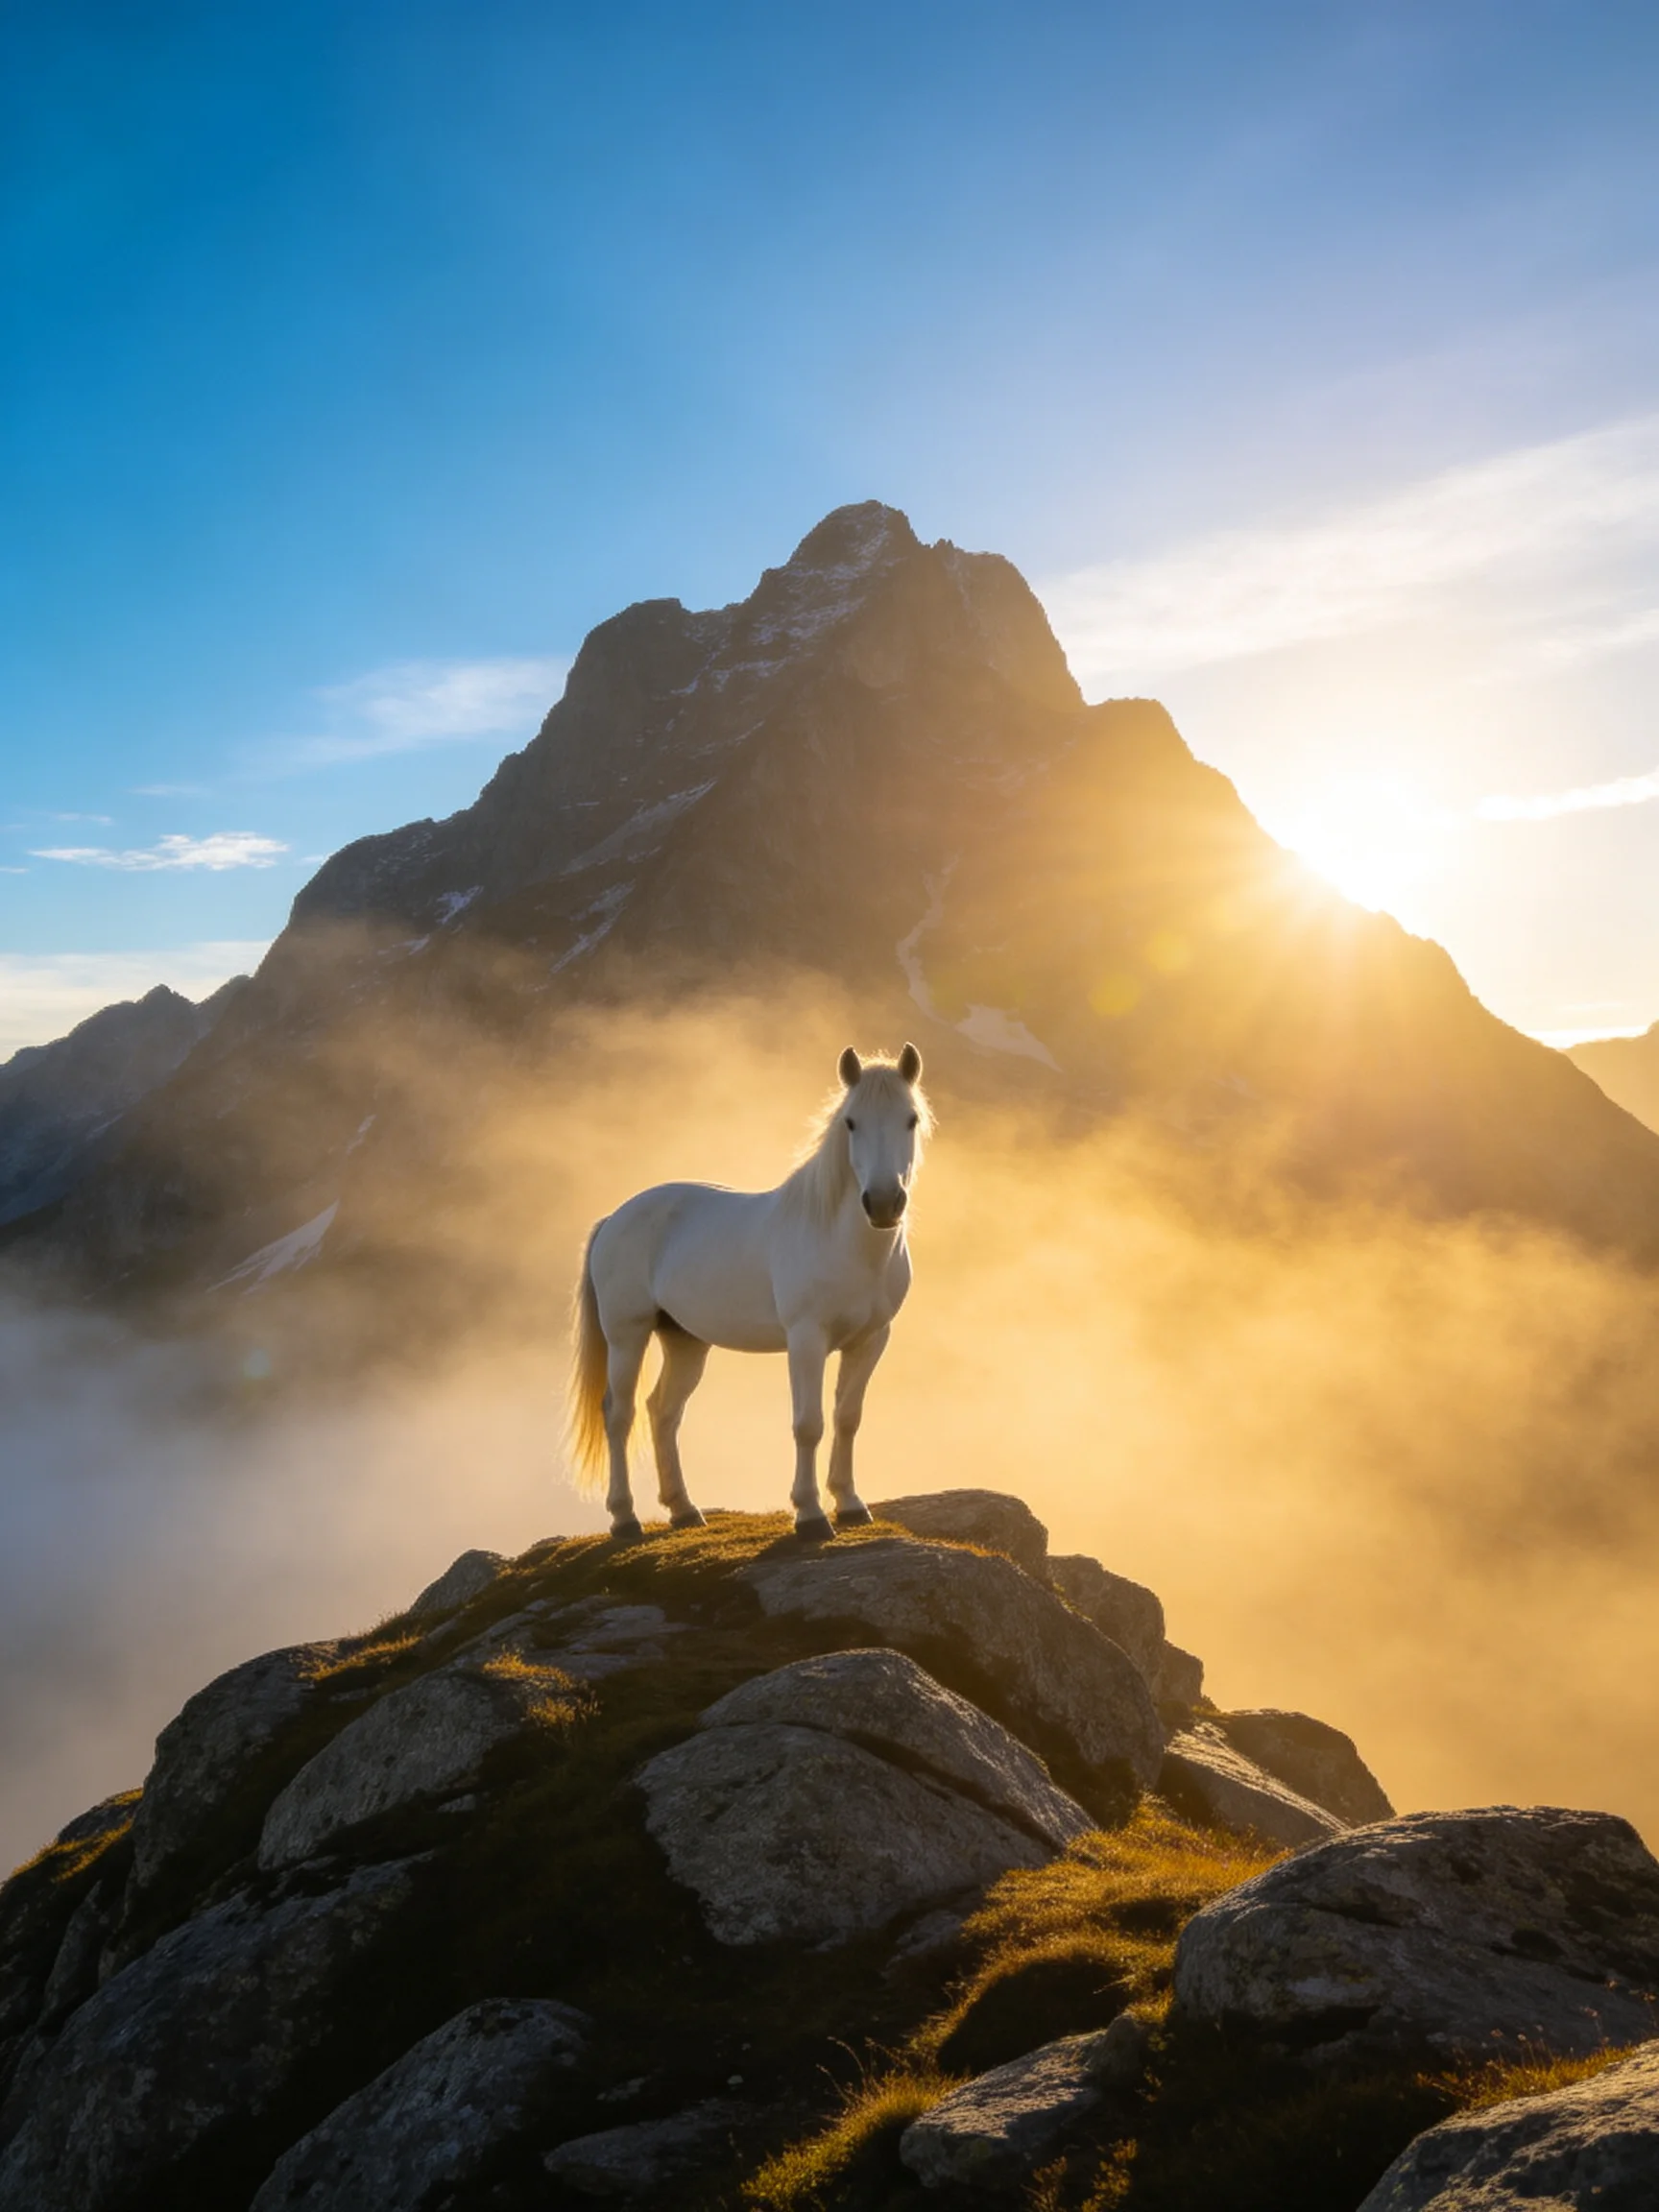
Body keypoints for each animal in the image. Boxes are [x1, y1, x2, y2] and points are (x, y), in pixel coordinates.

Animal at [568, 1043, 929, 1540]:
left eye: (910, 1119)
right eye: (851, 1122)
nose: (881, 1204)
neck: (842, 1241)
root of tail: (614, 1217)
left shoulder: (871, 1340)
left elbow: (847, 1417)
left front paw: (850, 1504)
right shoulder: (806, 1339)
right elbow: (809, 1424)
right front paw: (810, 1514)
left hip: (685, 1341)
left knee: (663, 1411)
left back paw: (684, 1509)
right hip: (627, 1334)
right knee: (620, 1414)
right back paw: (625, 1519)